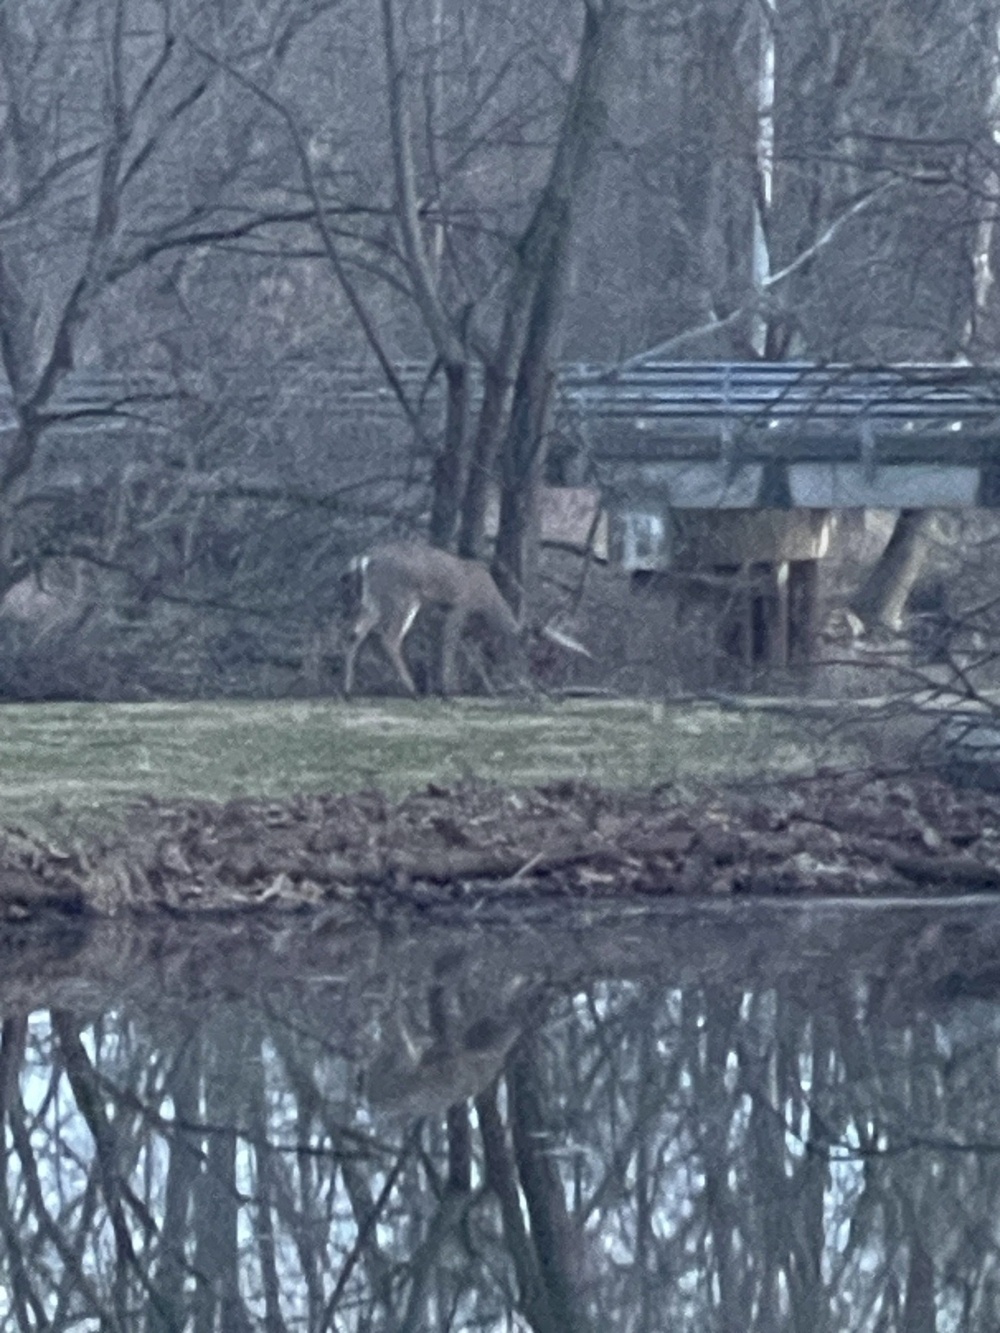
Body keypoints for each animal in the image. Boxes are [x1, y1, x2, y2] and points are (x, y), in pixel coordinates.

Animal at [346, 541, 594, 698]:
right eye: (534, 655)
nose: (537, 684)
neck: (486, 597)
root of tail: (364, 559)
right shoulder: (459, 606)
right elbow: (450, 644)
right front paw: (448, 690)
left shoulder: (453, 615)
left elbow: (469, 651)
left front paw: (488, 690)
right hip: (401, 596)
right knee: (390, 638)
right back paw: (413, 690)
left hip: (373, 598)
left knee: (355, 632)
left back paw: (348, 691)